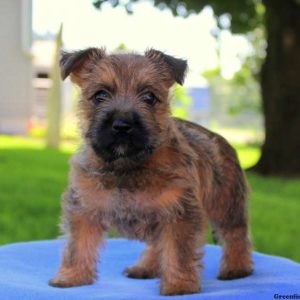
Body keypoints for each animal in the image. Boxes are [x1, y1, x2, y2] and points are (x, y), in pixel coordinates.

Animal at [49, 47, 253, 296]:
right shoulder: (84, 209)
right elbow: (78, 246)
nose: (122, 125)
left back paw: (236, 268)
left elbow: (178, 251)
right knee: (158, 245)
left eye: (149, 97)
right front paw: (71, 277)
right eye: (100, 95)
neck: (127, 167)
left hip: (226, 204)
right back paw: (145, 267)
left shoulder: (178, 214)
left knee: (236, 235)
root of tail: (220, 138)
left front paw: (179, 285)